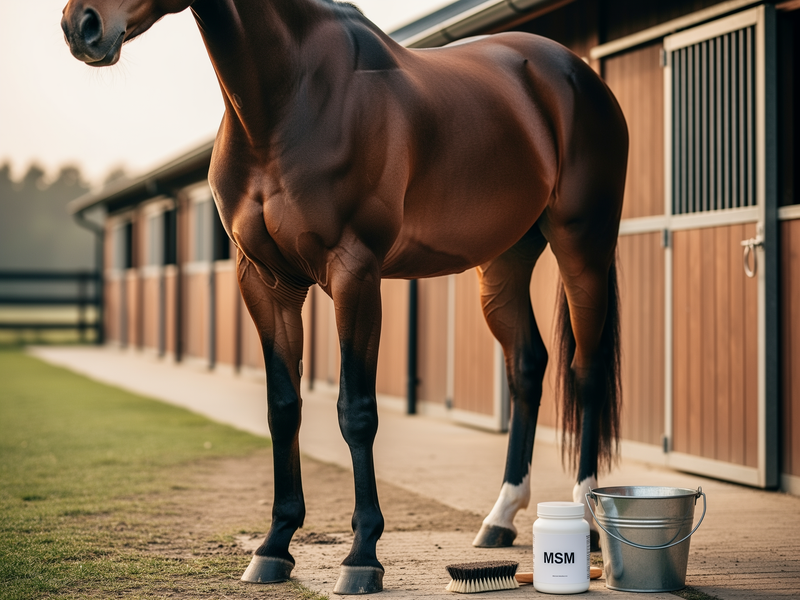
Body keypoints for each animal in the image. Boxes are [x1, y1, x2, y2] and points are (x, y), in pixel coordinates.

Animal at [61, 0, 627, 594]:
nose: (82, 26)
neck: (286, 100)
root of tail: (574, 71)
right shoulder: (265, 281)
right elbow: (283, 408)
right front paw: (274, 546)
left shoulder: (355, 273)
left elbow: (356, 412)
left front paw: (362, 557)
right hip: (504, 261)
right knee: (526, 365)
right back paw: (500, 517)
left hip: (582, 244)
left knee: (586, 372)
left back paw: (589, 516)